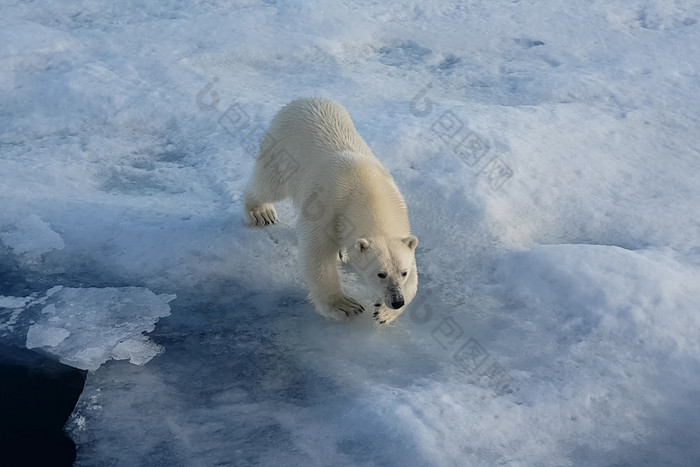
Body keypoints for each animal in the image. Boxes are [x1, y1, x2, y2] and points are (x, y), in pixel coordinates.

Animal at [243, 98, 418, 326]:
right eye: (381, 273)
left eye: (403, 272)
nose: (396, 301)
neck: (369, 192)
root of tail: (304, 100)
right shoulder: (328, 206)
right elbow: (317, 252)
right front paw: (345, 306)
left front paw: (385, 313)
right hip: (281, 150)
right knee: (268, 185)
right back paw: (261, 212)